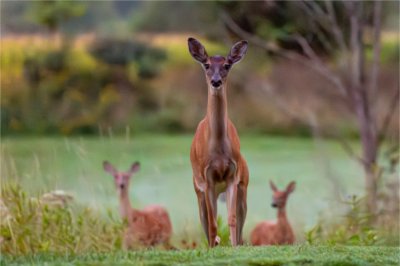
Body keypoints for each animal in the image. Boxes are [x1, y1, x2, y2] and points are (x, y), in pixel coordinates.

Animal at [188, 37, 250, 247]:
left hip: (243, 186)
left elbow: (231, 219)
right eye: (207, 65)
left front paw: (233, 247)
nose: (216, 81)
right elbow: (213, 222)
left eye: (227, 65)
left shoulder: (232, 176)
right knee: (206, 221)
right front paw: (213, 247)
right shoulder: (207, 179)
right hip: (198, 188)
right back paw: (212, 243)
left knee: (240, 222)